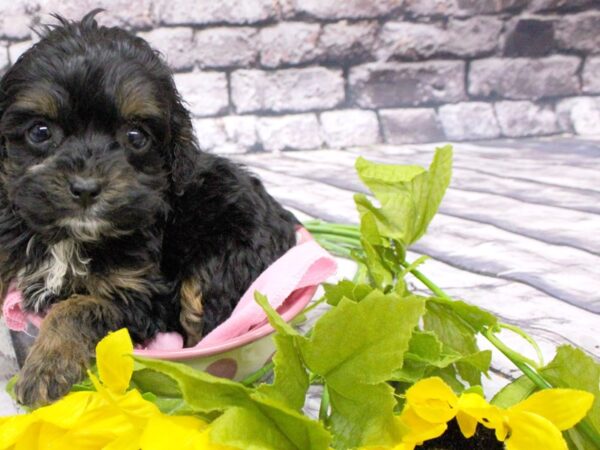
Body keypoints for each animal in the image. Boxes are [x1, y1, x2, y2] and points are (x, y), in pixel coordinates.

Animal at [0, 10, 298, 406]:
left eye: (135, 136)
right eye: (40, 132)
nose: (86, 189)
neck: (72, 239)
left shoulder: (144, 297)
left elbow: (77, 307)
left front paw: (46, 366)